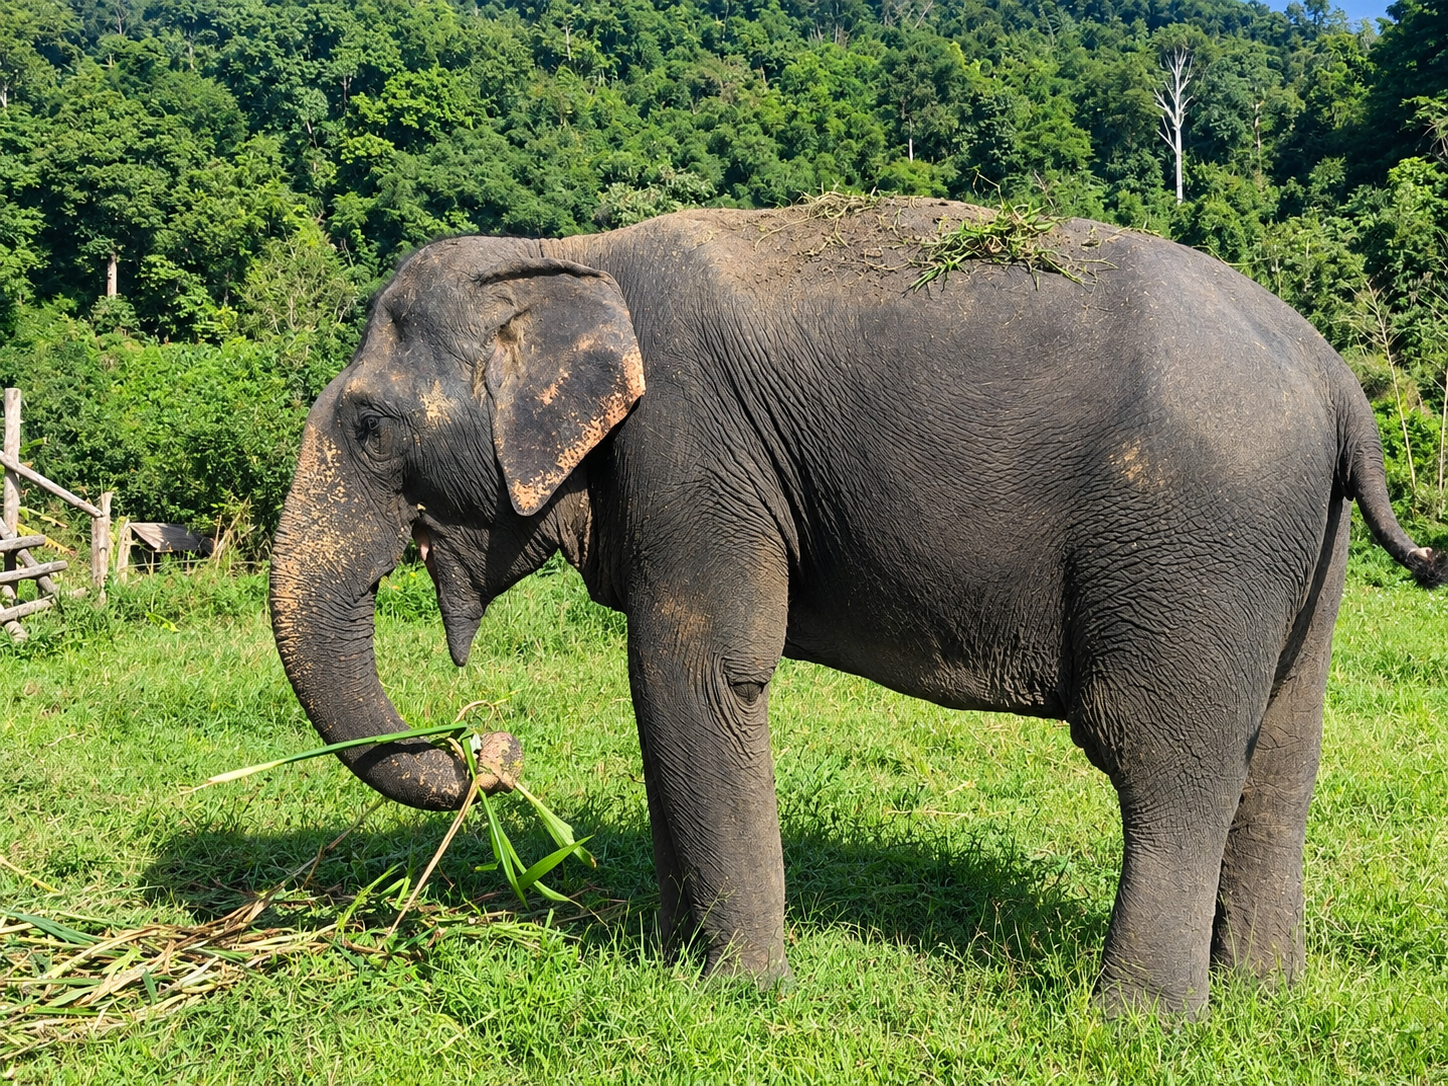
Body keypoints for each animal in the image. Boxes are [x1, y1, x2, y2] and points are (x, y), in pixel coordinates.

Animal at [269, 198, 1446, 1016]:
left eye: (370, 427)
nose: (485, 754)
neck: (570, 249)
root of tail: (1341, 386)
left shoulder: (695, 449)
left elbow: (701, 671)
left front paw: (740, 998)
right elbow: (664, 692)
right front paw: (667, 962)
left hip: (1194, 541)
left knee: (1162, 757)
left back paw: (1138, 1025)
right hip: (1304, 554)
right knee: (1279, 761)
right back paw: (1262, 1001)